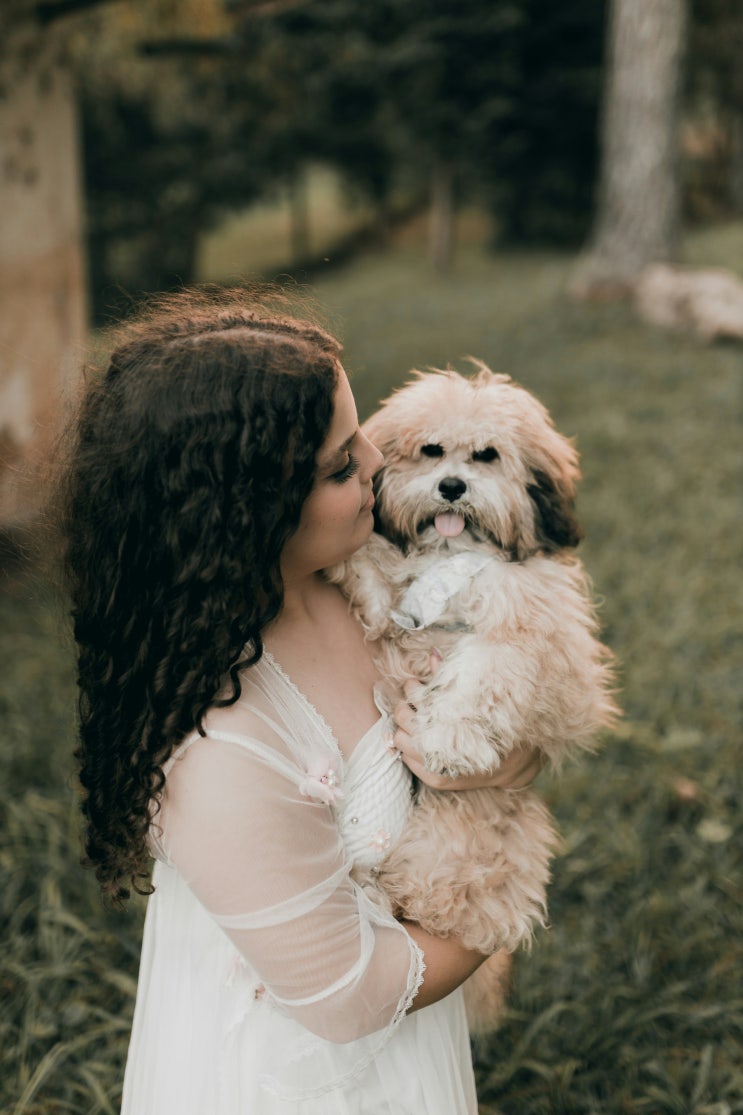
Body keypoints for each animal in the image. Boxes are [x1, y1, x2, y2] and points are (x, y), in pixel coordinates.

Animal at [328, 364, 618, 1033]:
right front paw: (356, 571)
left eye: (487, 455)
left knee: (435, 906)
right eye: (431, 451)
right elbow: (375, 571)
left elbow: (488, 669)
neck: (454, 556)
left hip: (460, 844)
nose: (453, 486)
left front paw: (451, 737)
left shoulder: (545, 642)